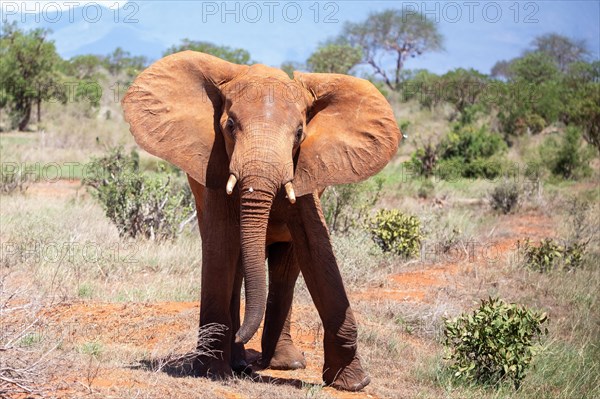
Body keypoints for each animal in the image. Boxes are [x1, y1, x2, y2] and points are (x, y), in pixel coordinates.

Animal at [122, 51, 400, 392]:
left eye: (299, 134)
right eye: (229, 125)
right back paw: (240, 361)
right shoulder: (216, 164)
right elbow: (221, 246)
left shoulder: (304, 172)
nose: (242, 336)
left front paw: (354, 383)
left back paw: (283, 363)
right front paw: (212, 372)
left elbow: (317, 250)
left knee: (285, 266)